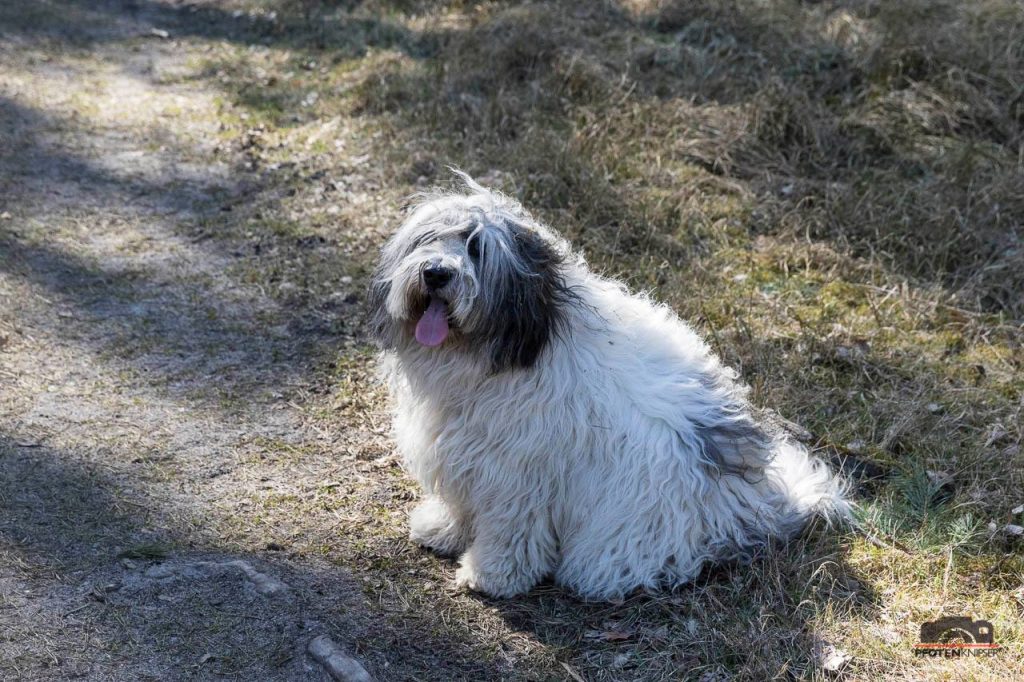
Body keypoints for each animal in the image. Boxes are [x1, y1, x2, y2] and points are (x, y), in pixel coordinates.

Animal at [369, 172, 848, 600]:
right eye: (430, 239)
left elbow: (510, 532)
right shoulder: (465, 454)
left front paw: (491, 575)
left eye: (477, 248)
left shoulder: (518, 476)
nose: (435, 273)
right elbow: (459, 501)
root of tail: (757, 508)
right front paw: (443, 528)